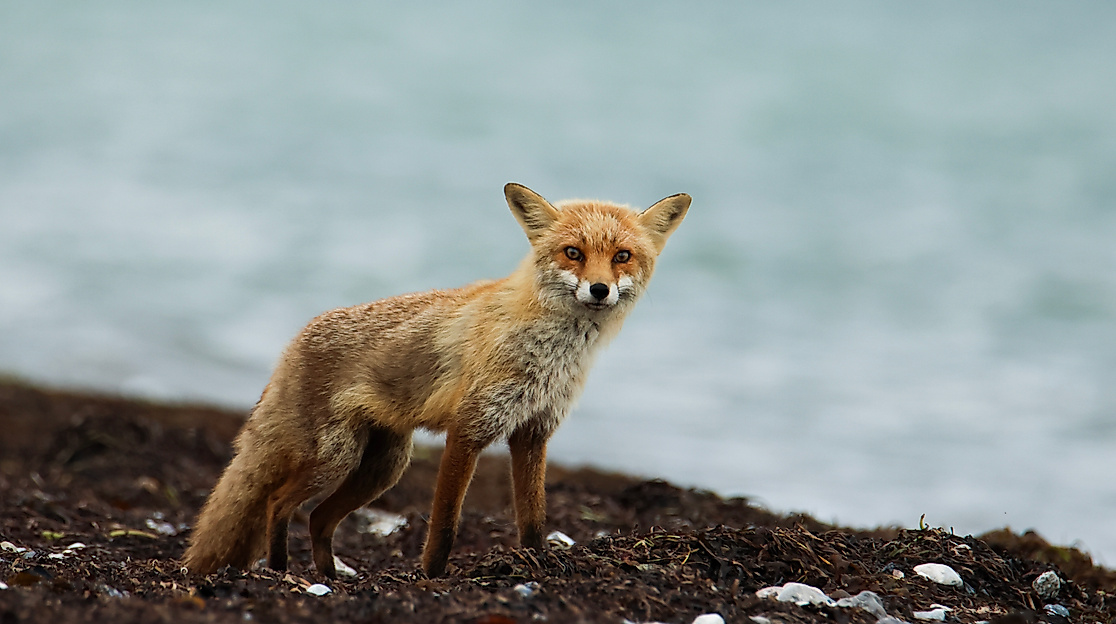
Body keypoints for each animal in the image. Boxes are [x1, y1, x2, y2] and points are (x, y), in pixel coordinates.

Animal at [182, 182, 690, 578]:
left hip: (382, 468)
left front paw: (537, 564)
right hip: (336, 460)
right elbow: (445, 524)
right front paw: (431, 577)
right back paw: (282, 572)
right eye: (573, 253)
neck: (549, 353)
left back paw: (329, 578)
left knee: (319, 520)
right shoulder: (468, 430)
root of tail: (293, 343)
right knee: (278, 504)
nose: (599, 290)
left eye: (622, 256)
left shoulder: (533, 432)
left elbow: (533, 518)